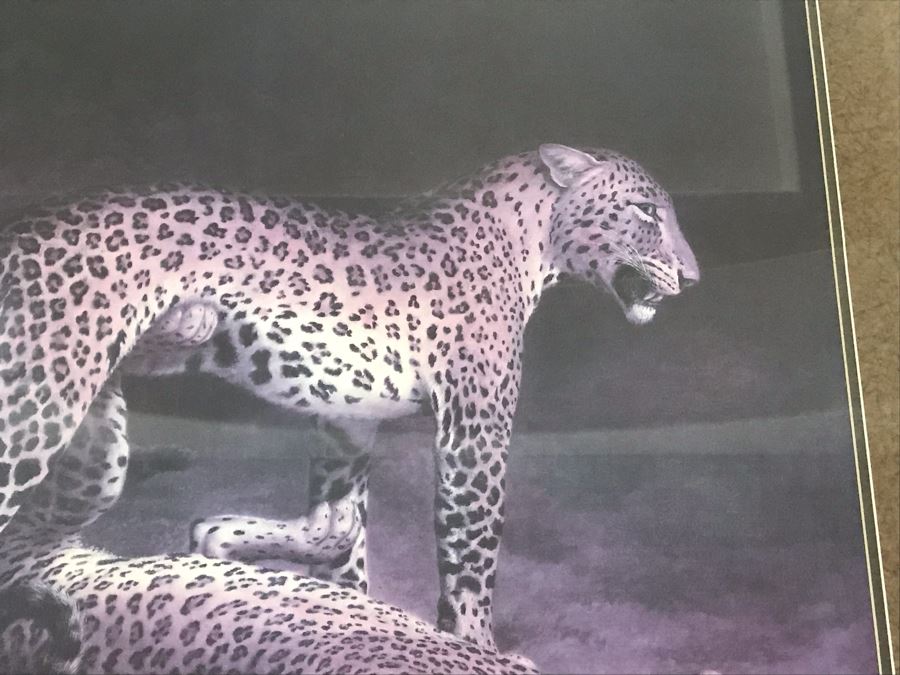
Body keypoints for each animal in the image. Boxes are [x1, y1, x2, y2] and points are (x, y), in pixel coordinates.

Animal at [0, 143, 699, 649]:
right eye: (644, 211)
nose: (692, 277)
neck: (533, 238)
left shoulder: (347, 422)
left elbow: (343, 542)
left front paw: (324, 565)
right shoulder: (474, 434)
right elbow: (472, 556)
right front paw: (474, 642)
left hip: (100, 454)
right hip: (36, 406)